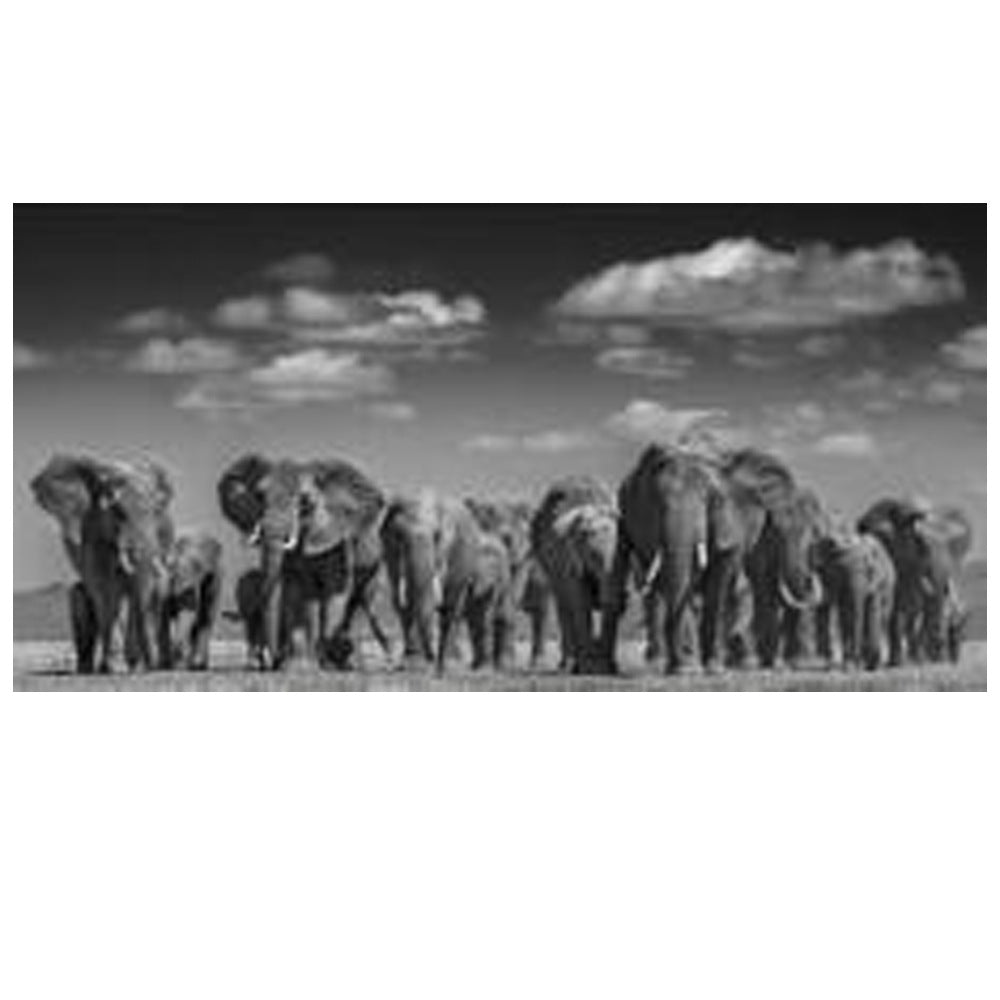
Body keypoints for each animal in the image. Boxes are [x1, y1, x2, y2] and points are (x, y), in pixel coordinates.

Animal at [31, 454, 176, 673]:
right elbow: (106, 591)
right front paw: (113, 668)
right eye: (118, 514)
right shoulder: (94, 533)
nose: (153, 666)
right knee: (81, 596)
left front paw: (132, 666)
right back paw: (87, 669)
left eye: (156, 514)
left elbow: (135, 595)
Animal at [217, 454, 388, 670]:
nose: (272, 662)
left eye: (305, 503)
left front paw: (327, 664)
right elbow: (304, 593)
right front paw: (299, 666)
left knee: (360, 599)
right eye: (259, 497)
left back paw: (350, 664)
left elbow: (333, 590)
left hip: (374, 565)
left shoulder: (335, 540)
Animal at [531, 476, 618, 675]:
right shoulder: (569, 559)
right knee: (565, 606)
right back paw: (568, 666)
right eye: (593, 556)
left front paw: (608, 668)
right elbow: (581, 603)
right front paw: (590, 668)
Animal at [812, 528, 896, 670]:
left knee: (880, 617)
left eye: (869, 570)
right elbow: (845, 616)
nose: (856, 661)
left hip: (889, 590)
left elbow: (872, 611)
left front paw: (869, 665)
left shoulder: (877, 582)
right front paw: (850, 663)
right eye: (839, 571)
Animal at [857, 499, 972, 665]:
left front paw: (926, 658)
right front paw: (896, 662)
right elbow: (897, 614)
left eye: (884, 535)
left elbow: (927, 609)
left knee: (929, 611)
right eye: (862, 531)